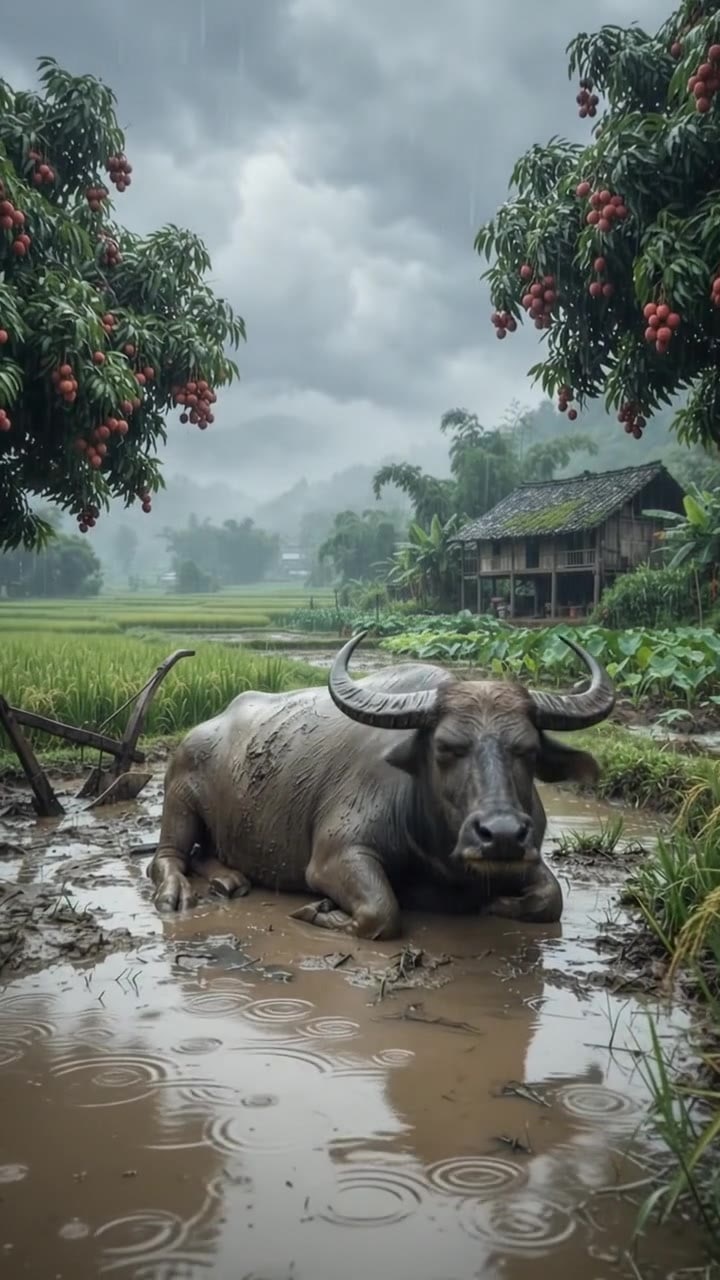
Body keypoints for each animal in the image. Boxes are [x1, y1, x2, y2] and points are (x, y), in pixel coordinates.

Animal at [147, 631, 615, 937]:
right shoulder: (335, 856)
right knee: (167, 857)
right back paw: (177, 893)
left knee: (205, 854)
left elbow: (550, 898)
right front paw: (319, 911)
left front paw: (497, 902)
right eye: (446, 747)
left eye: (529, 750)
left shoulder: (527, 852)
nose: (500, 834)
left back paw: (229, 880)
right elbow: (381, 912)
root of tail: (201, 730)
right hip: (179, 798)